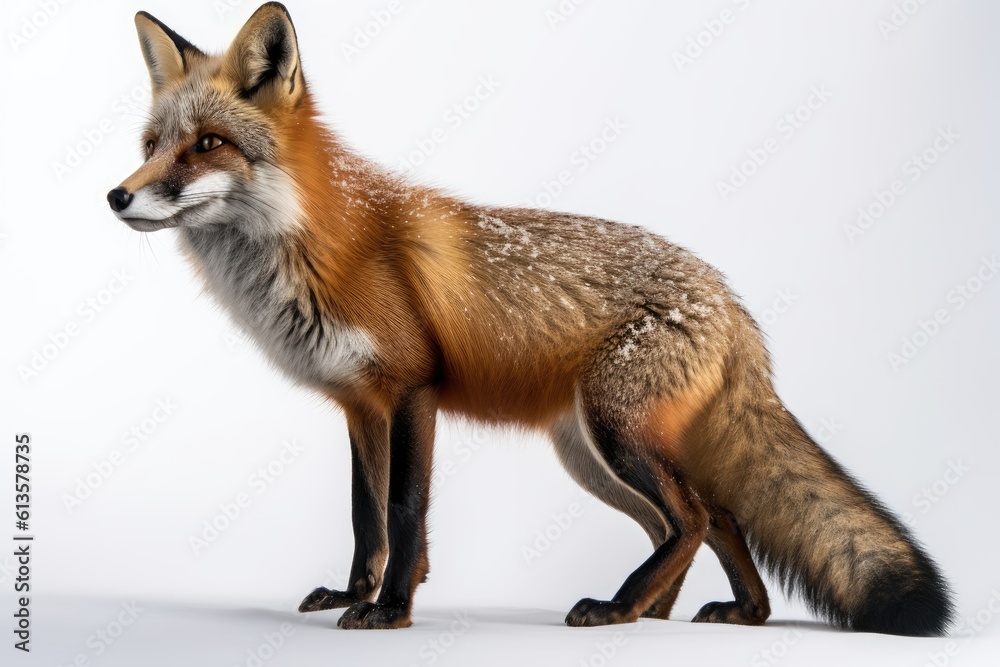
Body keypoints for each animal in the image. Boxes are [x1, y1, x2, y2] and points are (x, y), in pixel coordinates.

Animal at [108, 3, 953, 635]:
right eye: (151, 144)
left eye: (207, 144)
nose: (118, 195)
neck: (315, 247)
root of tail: (731, 300)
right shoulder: (359, 405)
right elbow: (364, 517)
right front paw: (355, 593)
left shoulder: (412, 390)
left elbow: (404, 514)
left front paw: (391, 610)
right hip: (592, 454)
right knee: (711, 518)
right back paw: (697, 612)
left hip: (616, 434)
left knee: (689, 517)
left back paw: (620, 605)